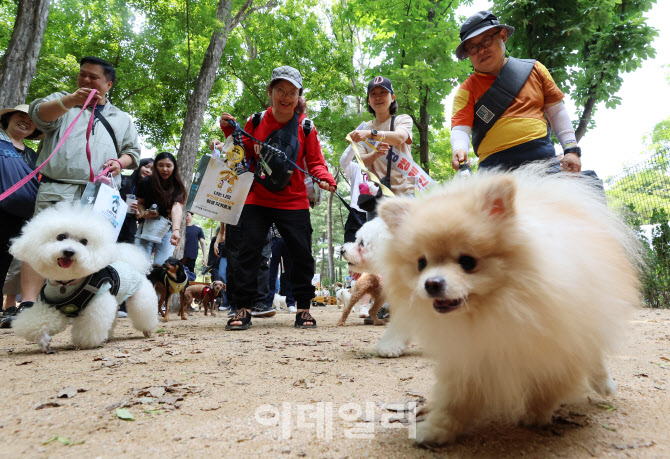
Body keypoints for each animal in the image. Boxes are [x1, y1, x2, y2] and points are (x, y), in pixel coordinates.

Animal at [9, 203, 159, 354]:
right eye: (61, 236)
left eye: (84, 241)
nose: (69, 252)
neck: (67, 283)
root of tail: (132, 264)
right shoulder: (52, 306)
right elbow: (39, 321)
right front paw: (43, 340)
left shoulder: (98, 303)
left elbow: (90, 325)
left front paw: (83, 344)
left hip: (142, 297)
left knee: (144, 312)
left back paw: (147, 330)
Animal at [378, 165, 644, 446]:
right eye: (421, 263)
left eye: (468, 262)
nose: (432, 283)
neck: (496, 309)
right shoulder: (470, 356)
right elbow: (456, 399)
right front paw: (436, 429)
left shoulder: (559, 344)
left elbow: (551, 383)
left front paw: (535, 413)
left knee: (594, 355)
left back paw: (604, 384)